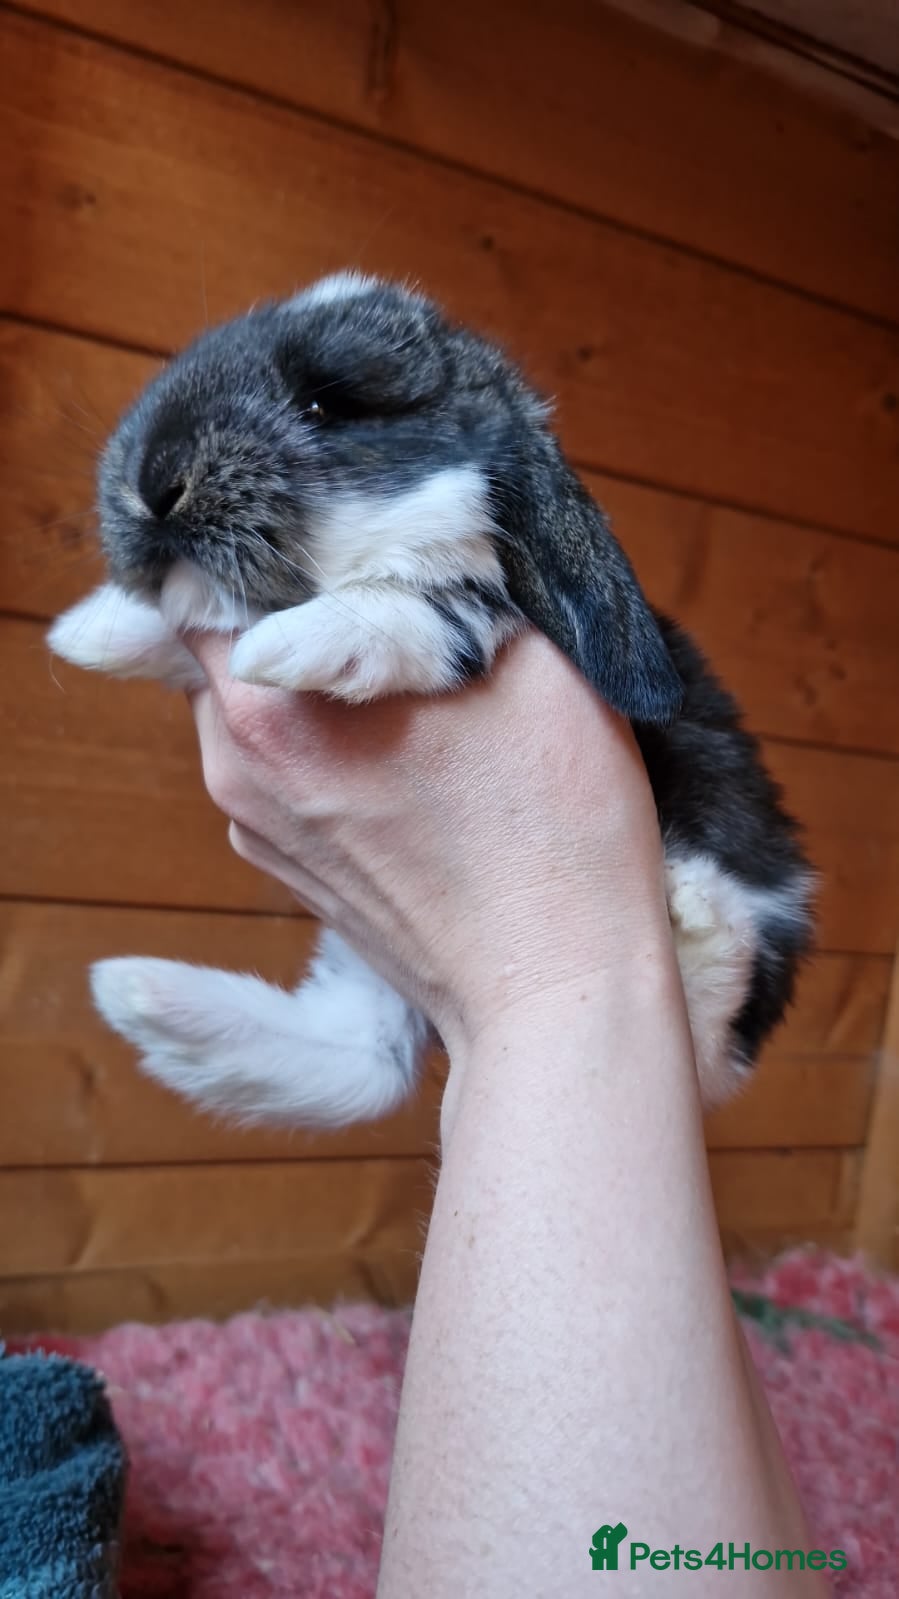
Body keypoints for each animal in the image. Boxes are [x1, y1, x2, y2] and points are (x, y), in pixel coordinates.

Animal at [48, 270, 815, 1130]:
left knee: (710, 1047)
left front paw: (290, 645)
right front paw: (95, 630)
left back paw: (696, 914)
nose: (151, 482)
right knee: (364, 1058)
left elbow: (420, 610)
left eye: (325, 405)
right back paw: (135, 988)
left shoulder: (479, 597)